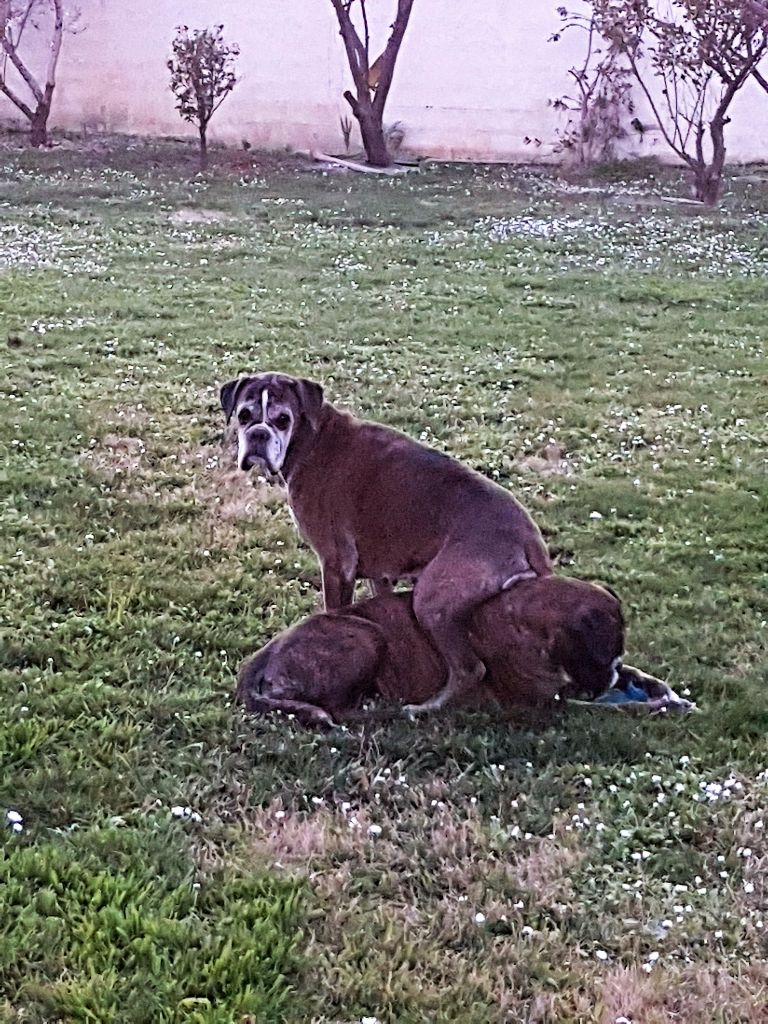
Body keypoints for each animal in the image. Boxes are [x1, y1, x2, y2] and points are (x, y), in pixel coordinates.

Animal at [221, 372, 552, 716]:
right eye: (244, 416)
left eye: (282, 420)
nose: (258, 434)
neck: (312, 437)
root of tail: (527, 535)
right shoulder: (379, 574)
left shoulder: (336, 566)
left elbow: (332, 609)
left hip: (432, 600)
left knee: (469, 669)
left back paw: (424, 708)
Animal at [234, 577, 626, 729]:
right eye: (606, 652)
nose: (613, 675)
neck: (530, 621)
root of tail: (259, 661)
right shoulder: (545, 702)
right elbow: (600, 706)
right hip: (368, 636)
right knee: (338, 709)